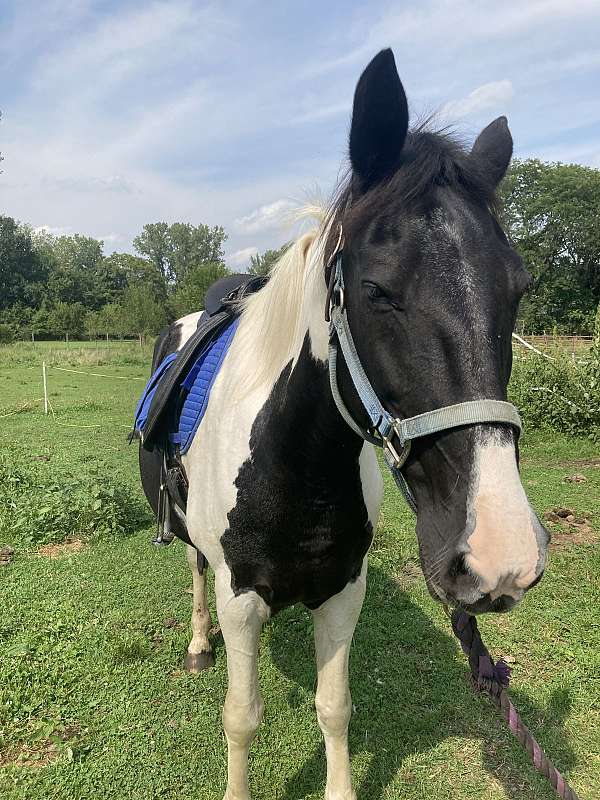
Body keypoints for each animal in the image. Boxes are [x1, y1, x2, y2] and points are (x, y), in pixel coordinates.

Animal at [139, 48, 548, 800]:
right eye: (376, 290)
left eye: (519, 289)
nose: (501, 554)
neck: (294, 461)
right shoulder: (241, 596)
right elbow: (241, 715)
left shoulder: (342, 590)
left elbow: (335, 707)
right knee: (193, 572)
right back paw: (200, 644)